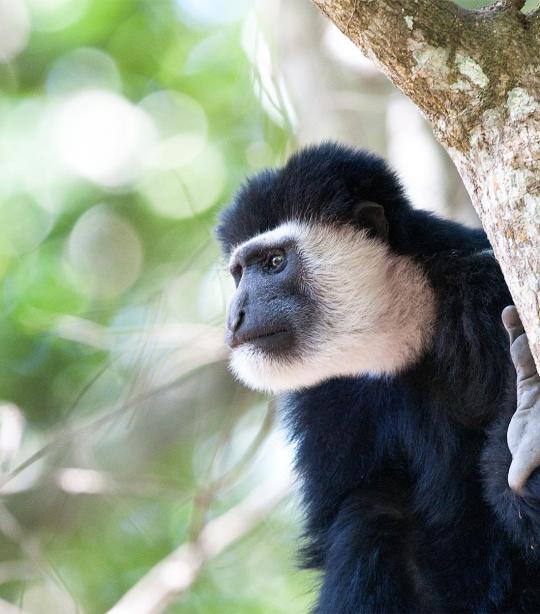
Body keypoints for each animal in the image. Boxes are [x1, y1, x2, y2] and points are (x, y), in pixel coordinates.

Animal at [216, 146, 540, 614]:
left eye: (275, 263)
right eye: (239, 273)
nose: (236, 316)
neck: (415, 326)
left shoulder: (489, 295)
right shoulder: (327, 401)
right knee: (370, 516)